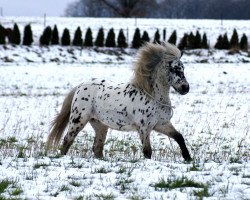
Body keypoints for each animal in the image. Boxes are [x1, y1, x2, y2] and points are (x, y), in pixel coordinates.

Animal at [47, 41, 191, 161]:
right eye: (174, 69)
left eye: (183, 68)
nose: (185, 88)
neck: (152, 96)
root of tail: (80, 86)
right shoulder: (144, 128)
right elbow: (147, 151)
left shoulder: (161, 124)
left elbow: (179, 137)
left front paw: (188, 158)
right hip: (78, 120)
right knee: (68, 140)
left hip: (100, 125)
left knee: (97, 147)